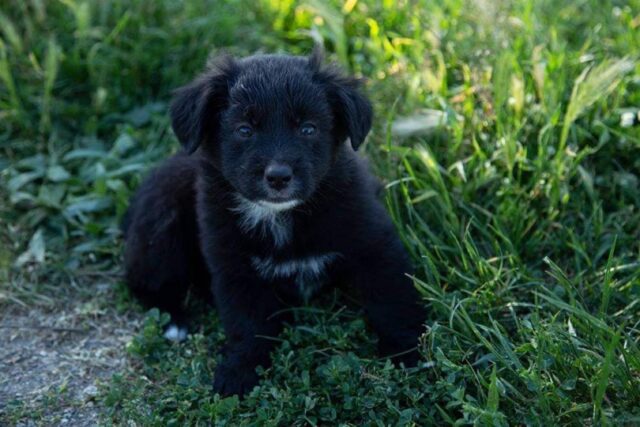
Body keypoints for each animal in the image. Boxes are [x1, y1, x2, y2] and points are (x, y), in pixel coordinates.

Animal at [123, 51, 428, 398]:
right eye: (244, 130)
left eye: (308, 129)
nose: (279, 177)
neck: (280, 216)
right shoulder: (234, 268)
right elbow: (247, 324)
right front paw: (240, 370)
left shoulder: (374, 244)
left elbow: (392, 298)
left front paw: (407, 350)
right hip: (161, 219)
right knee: (142, 281)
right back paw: (174, 321)